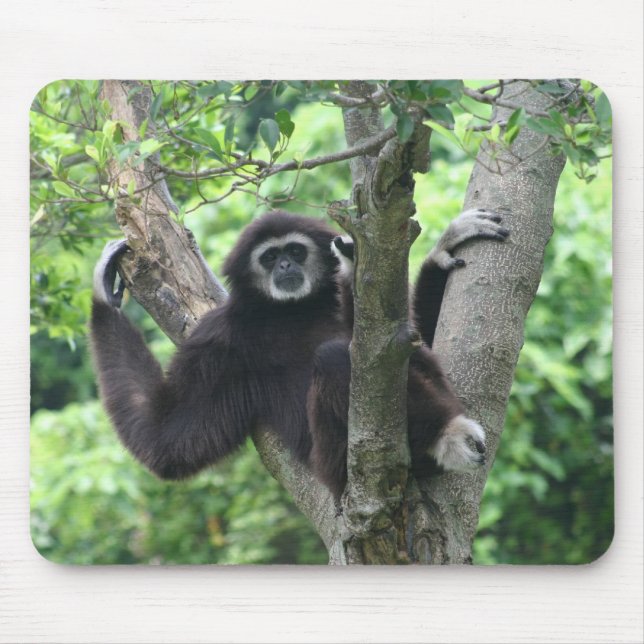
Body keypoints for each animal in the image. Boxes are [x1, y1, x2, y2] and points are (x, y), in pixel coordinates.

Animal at [90, 209, 509, 500]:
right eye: (268, 257)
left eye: (294, 250)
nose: (285, 265)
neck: (294, 309)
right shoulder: (217, 340)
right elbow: (165, 440)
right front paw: (104, 295)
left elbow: (403, 340)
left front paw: (439, 251)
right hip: (335, 462)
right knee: (335, 358)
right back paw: (446, 437)